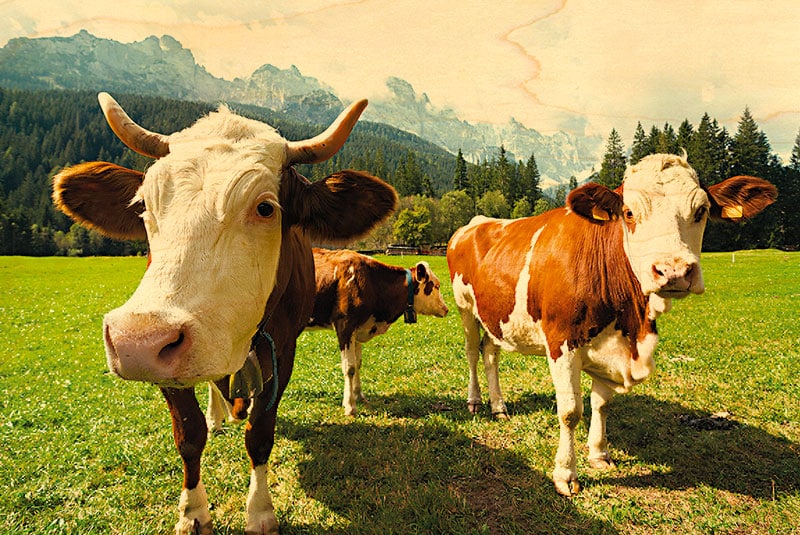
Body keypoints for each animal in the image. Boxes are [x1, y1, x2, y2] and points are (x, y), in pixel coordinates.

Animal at [52, 92, 397, 534]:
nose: (136, 342)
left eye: (265, 208)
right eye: (144, 204)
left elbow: (260, 434)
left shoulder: (282, 351)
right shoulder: (167, 363)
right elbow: (188, 435)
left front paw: (260, 511)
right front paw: (193, 511)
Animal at [307, 248, 449, 415]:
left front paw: (359, 396)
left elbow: (357, 364)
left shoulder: (357, 329)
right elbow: (349, 367)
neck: (372, 280)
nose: (446, 309)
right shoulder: (345, 326)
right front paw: (350, 406)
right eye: (436, 286)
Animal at [446, 153, 776, 497]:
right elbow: (570, 411)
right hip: (465, 307)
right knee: (472, 352)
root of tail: (477, 222)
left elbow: (601, 404)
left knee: (490, 354)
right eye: (629, 213)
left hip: (494, 315)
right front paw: (566, 474)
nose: (673, 271)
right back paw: (475, 401)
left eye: (701, 211)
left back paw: (498, 406)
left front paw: (599, 454)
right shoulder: (561, 342)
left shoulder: (612, 346)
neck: (631, 321)